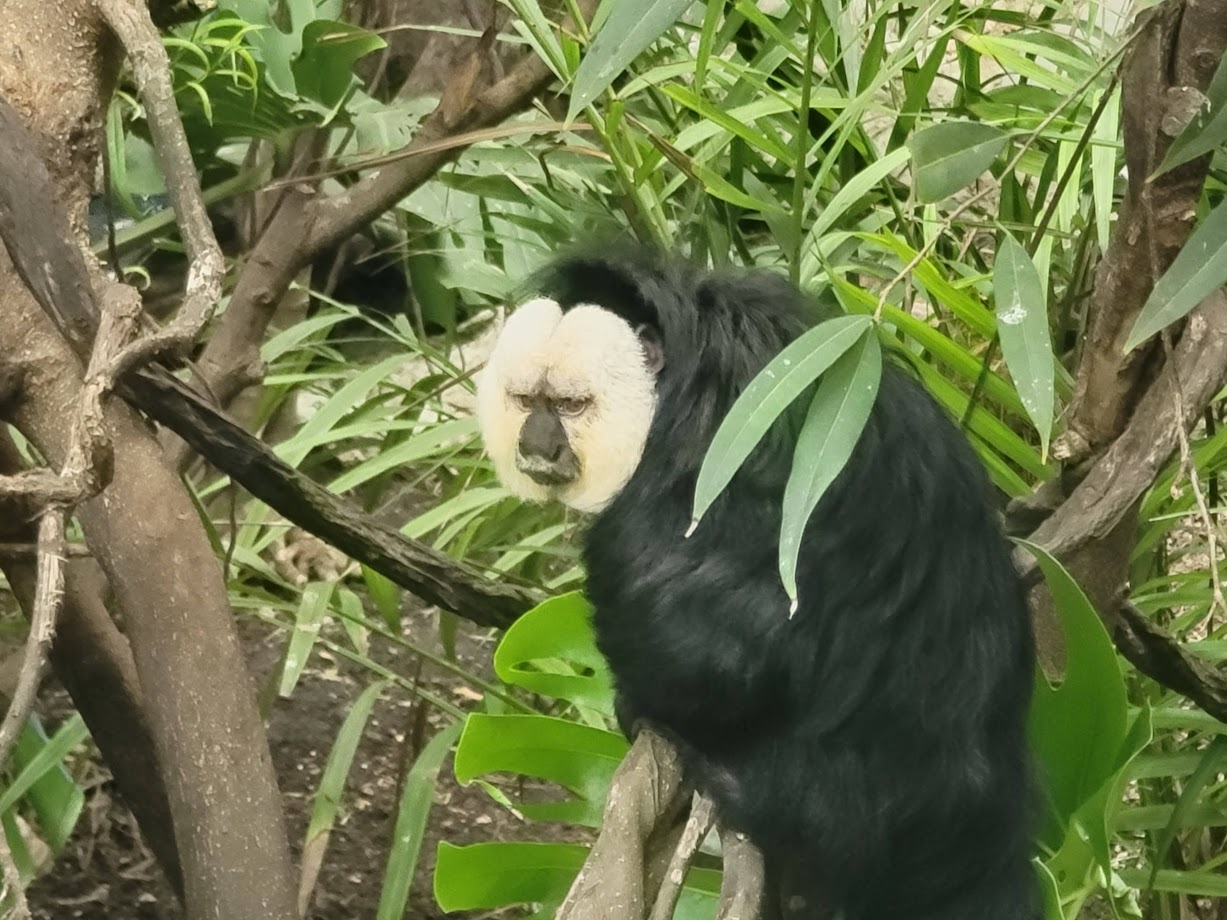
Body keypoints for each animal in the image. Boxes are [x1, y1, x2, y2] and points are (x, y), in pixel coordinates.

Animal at [476, 245, 1041, 920]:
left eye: (568, 406)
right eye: (526, 400)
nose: (536, 444)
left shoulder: (711, 455)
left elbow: (725, 646)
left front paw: (643, 701)